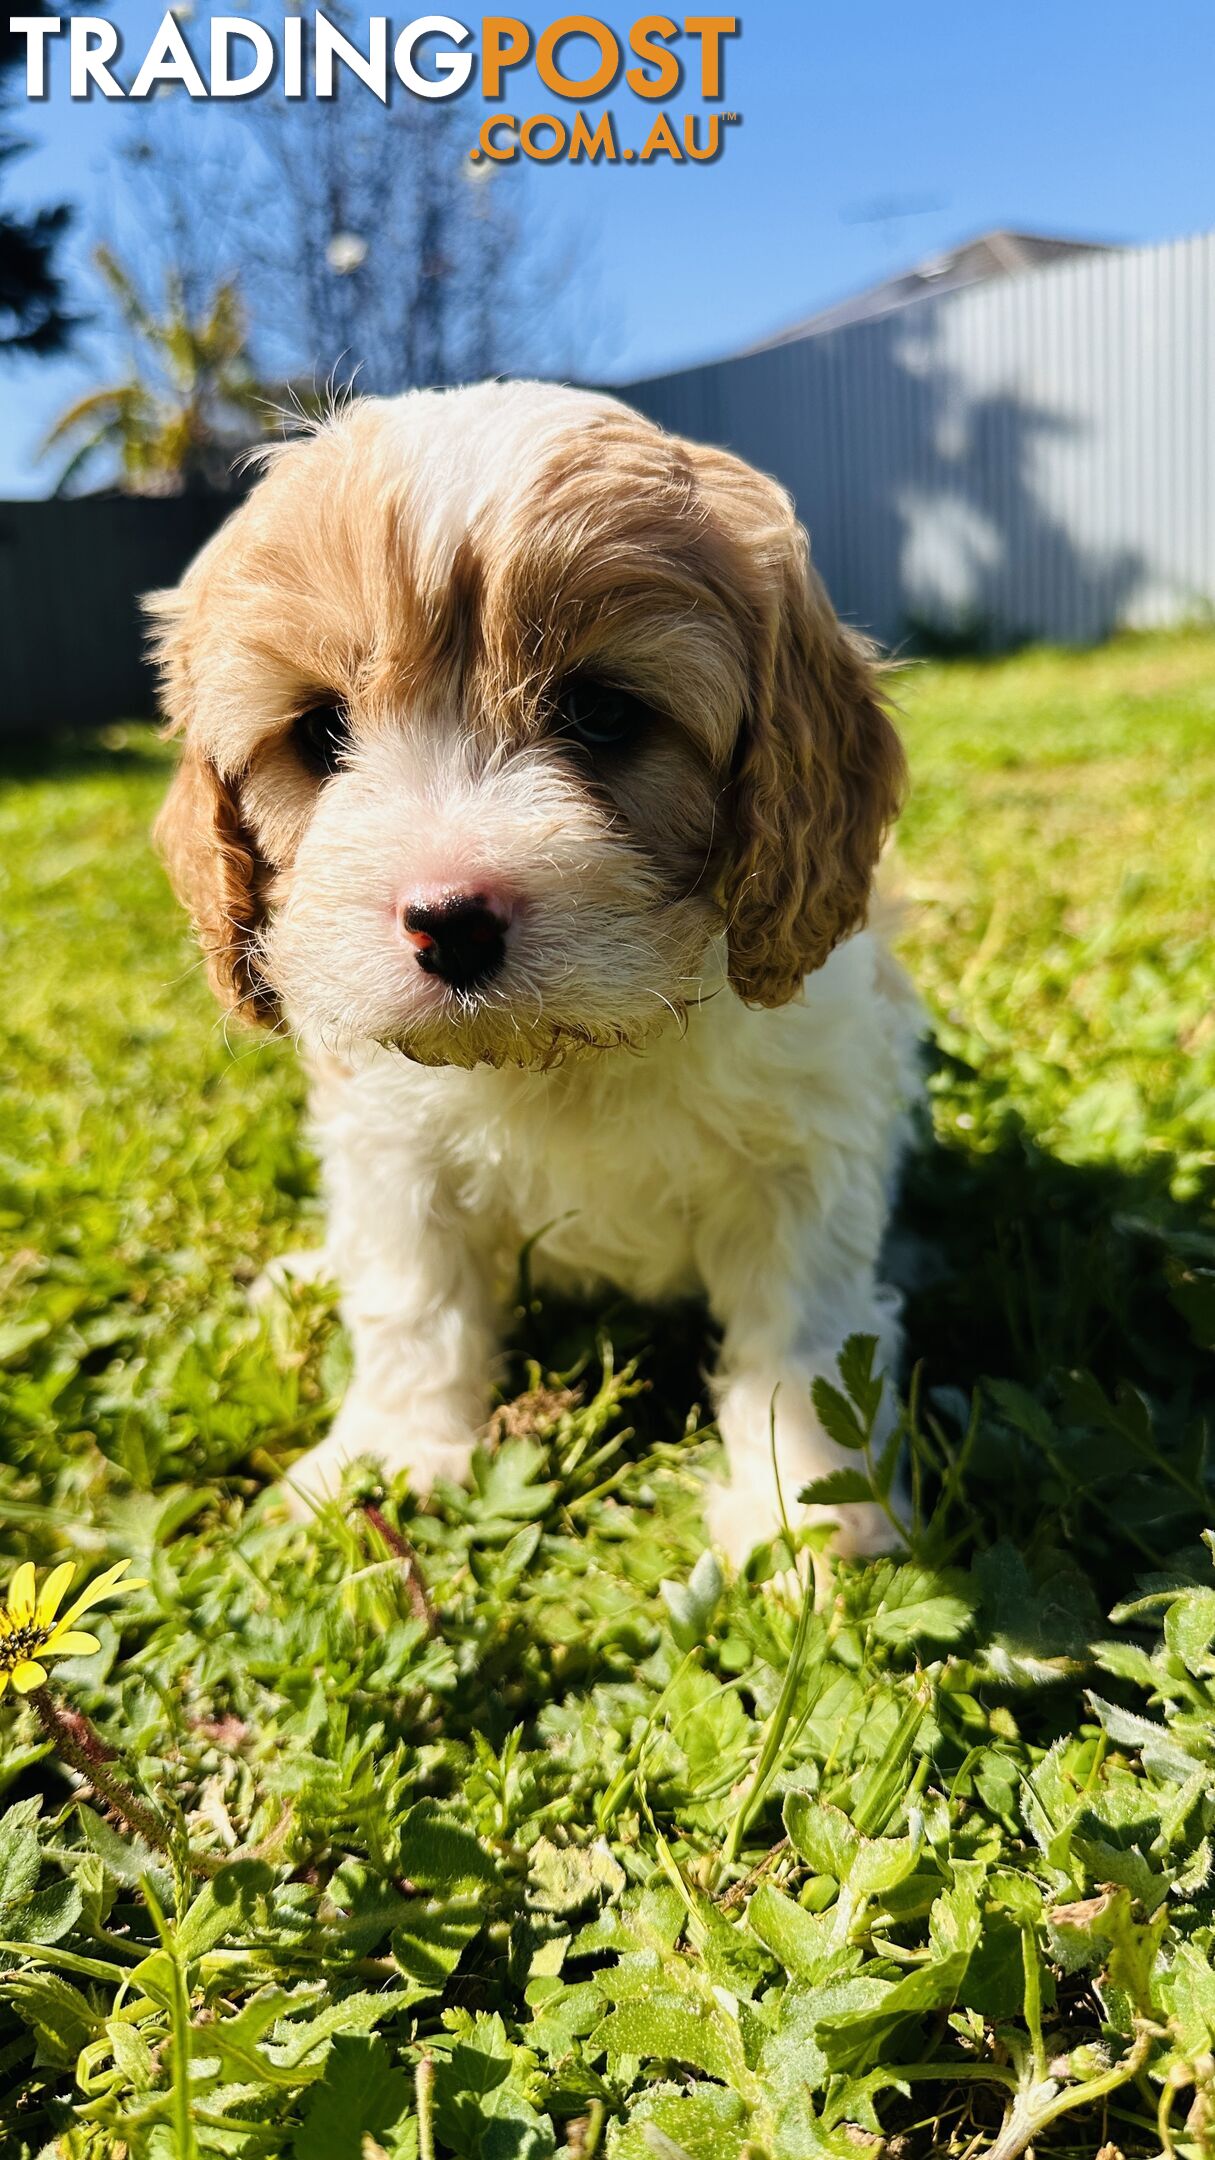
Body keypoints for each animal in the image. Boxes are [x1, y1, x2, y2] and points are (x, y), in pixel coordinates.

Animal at [153, 371, 916, 1555]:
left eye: (602, 713)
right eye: (321, 733)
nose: (450, 921)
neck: (569, 1052)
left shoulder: (804, 1145)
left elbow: (805, 1337)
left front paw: (811, 1513)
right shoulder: (391, 1150)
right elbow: (411, 1298)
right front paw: (389, 1453)